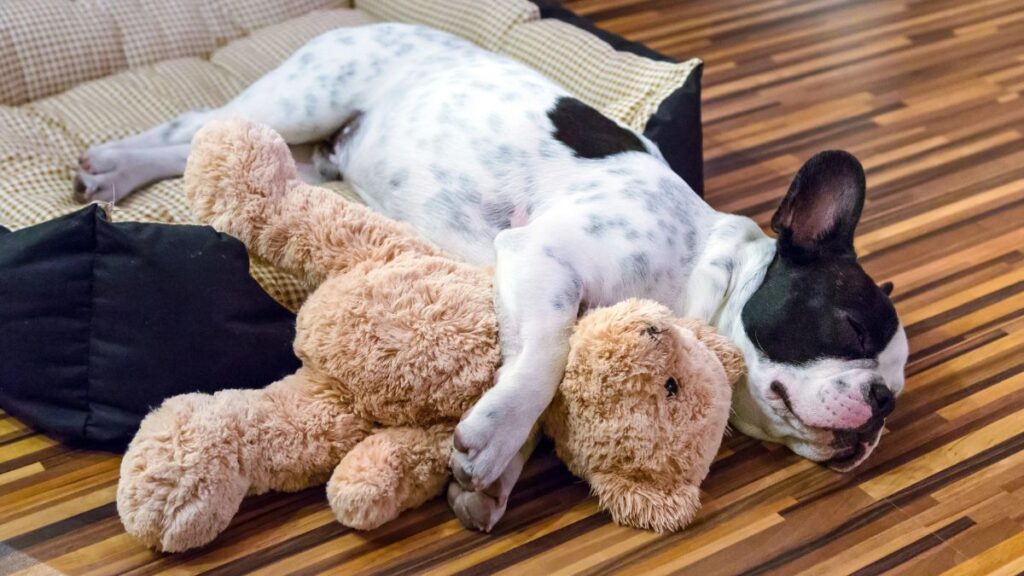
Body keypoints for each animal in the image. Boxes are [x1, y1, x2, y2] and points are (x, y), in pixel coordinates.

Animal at [75, 23, 909, 528]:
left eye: (896, 390)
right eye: (849, 325)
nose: (880, 406)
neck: (704, 262)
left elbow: (528, 371)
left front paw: (494, 478)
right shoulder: (544, 257)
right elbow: (547, 357)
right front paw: (497, 436)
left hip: (314, 151)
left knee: (216, 136)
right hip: (306, 97)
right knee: (198, 129)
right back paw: (114, 167)